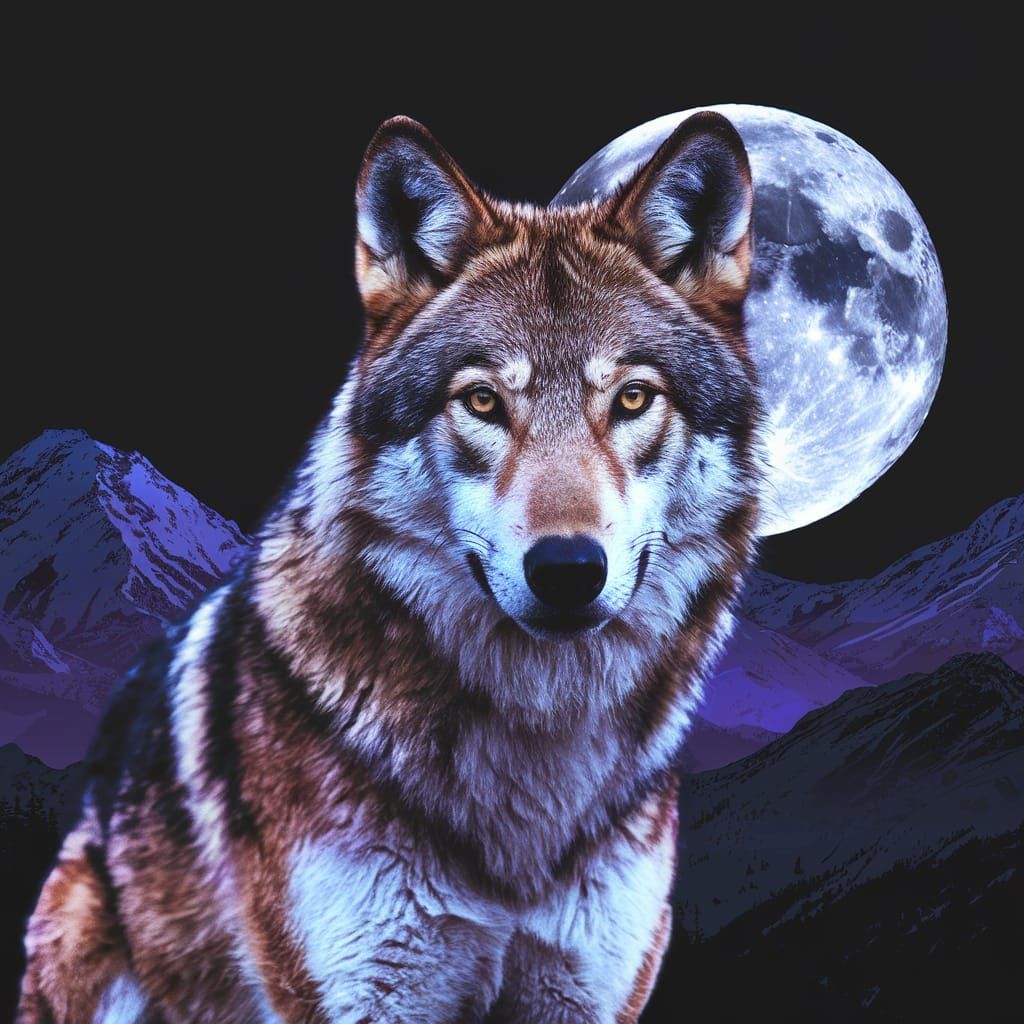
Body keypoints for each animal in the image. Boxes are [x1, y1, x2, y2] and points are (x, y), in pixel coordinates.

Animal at [18, 110, 763, 1022]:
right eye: (482, 401)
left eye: (632, 399)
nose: (567, 568)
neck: (532, 756)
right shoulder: (363, 996)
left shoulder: (586, 991)